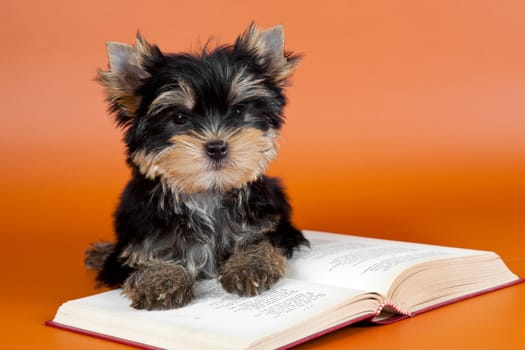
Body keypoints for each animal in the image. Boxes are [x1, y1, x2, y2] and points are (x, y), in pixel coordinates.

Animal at [85, 23, 308, 308]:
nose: (217, 147)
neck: (206, 192)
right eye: (179, 118)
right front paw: (161, 279)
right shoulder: (144, 229)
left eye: (238, 111)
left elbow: (263, 239)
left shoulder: (272, 223)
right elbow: (143, 255)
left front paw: (249, 265)